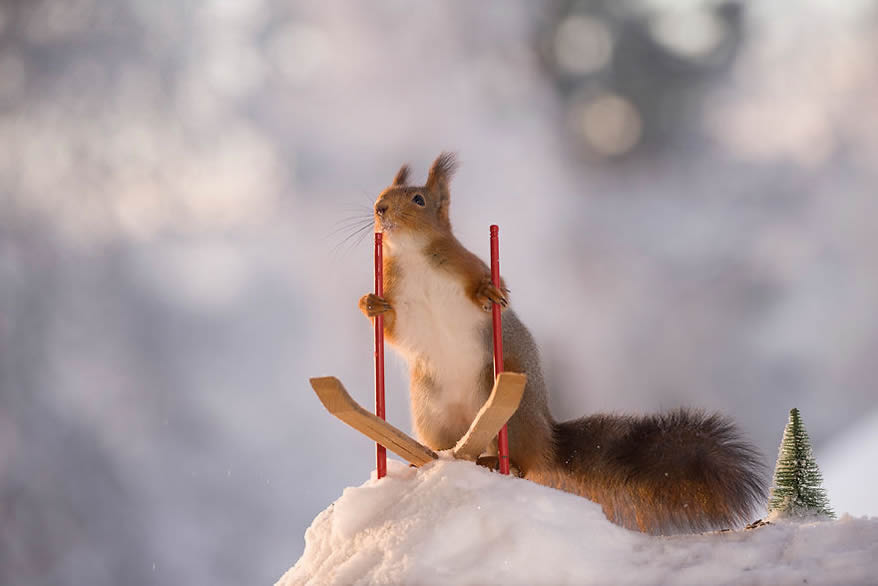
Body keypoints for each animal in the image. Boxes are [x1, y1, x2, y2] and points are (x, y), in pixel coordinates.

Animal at [360, 153, 768, 532]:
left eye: (418, 199)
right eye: (381, 193)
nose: (379, 209)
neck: (413, 256)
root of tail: (548, 438)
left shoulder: (468, 265)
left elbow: (489, 284)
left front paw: (489, 293)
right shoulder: (399, 298)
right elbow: (392, 330)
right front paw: (370, 304)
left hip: (512, 409)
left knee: (524, 465)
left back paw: (502, 462)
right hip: (433, 413)